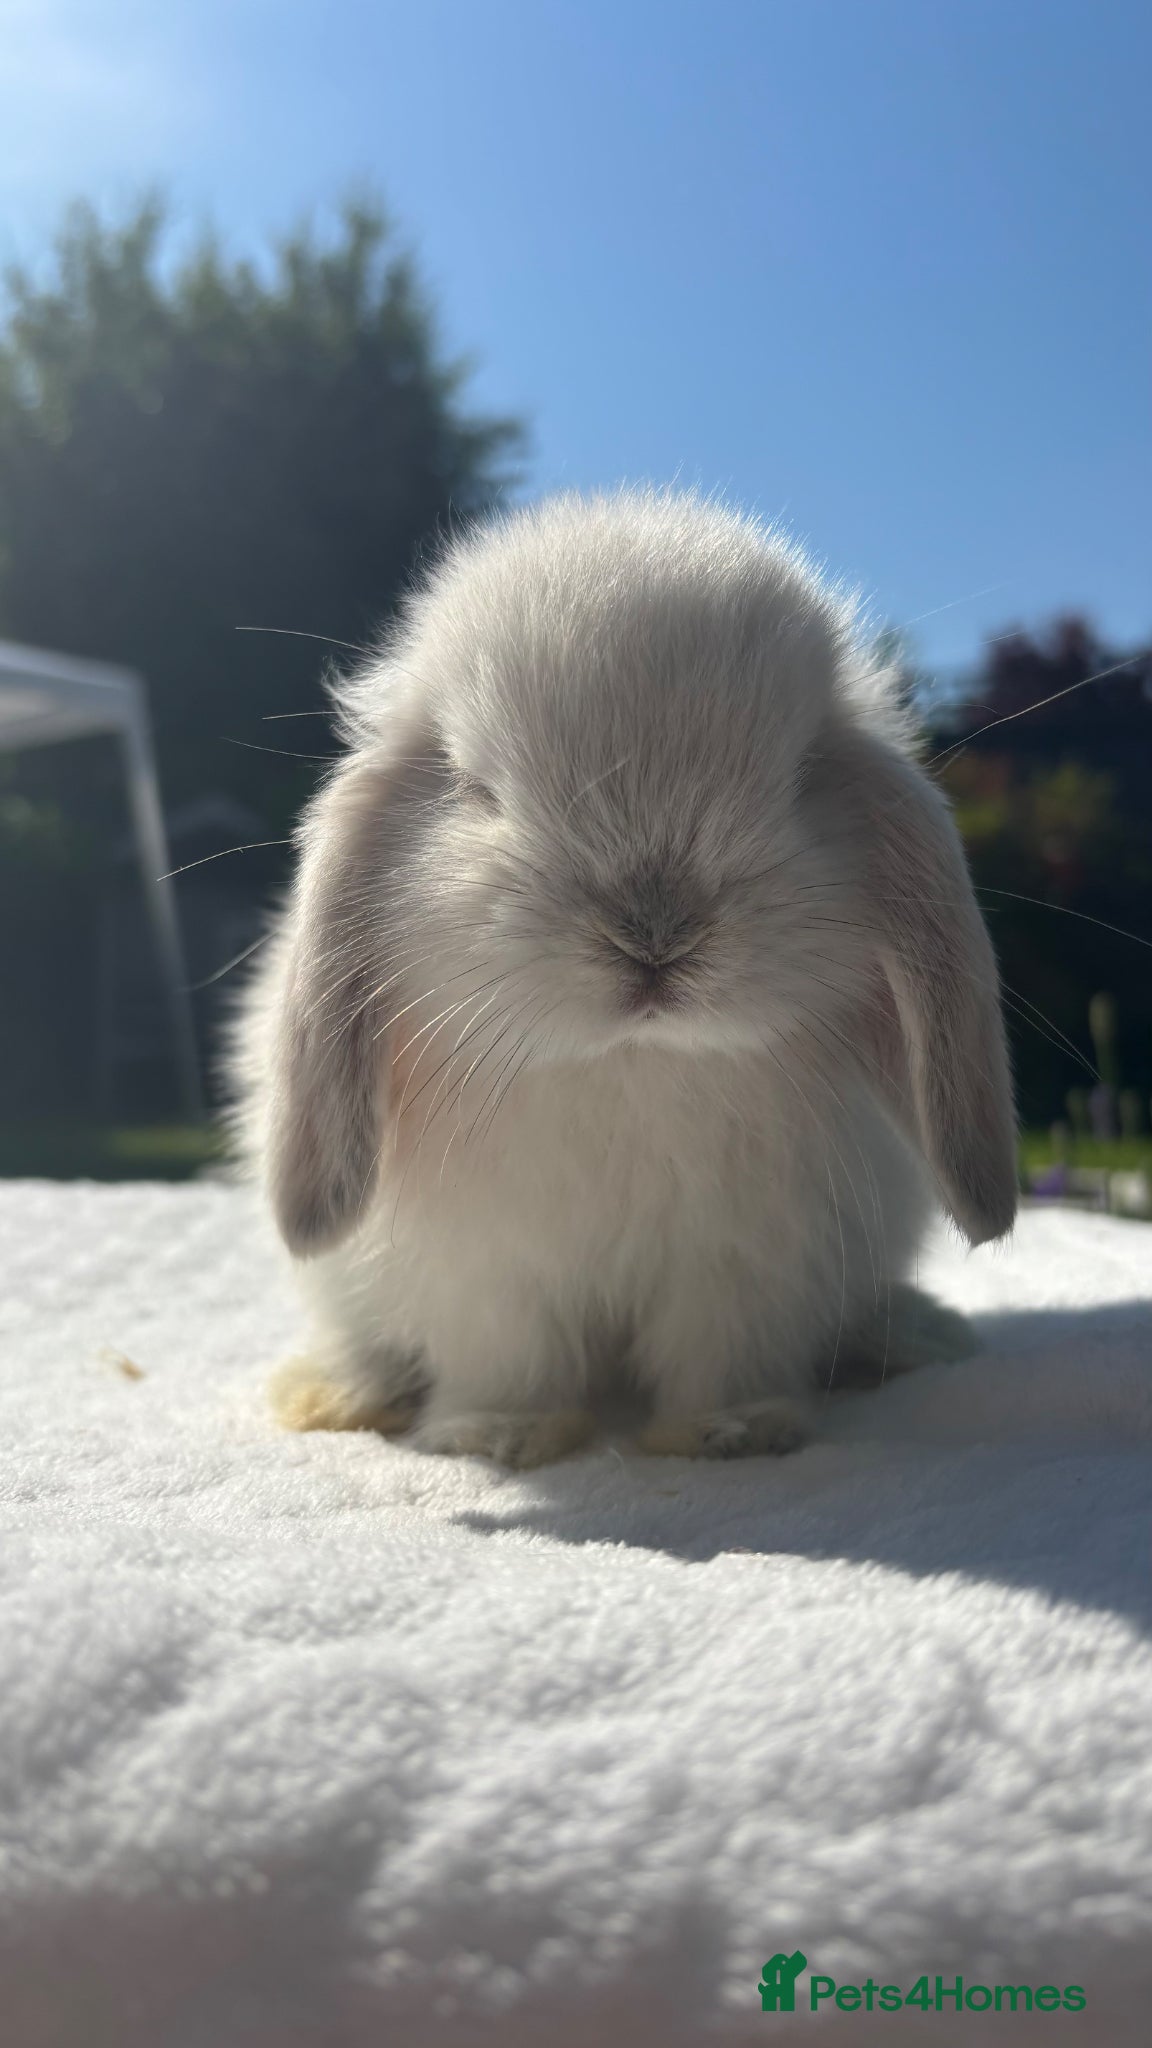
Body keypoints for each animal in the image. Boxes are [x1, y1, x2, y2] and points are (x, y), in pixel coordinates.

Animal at [229, 488, 1016, 1468]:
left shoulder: (745, 1265)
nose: (654, 934)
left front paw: (729, 1432)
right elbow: (510, 1360)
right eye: (476, 787)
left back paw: (912, 1339)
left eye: (800, 777)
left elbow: (723, 1350)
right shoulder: (489, 1275)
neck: (630, 1060)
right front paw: (502, 1438)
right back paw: (333, 1394)